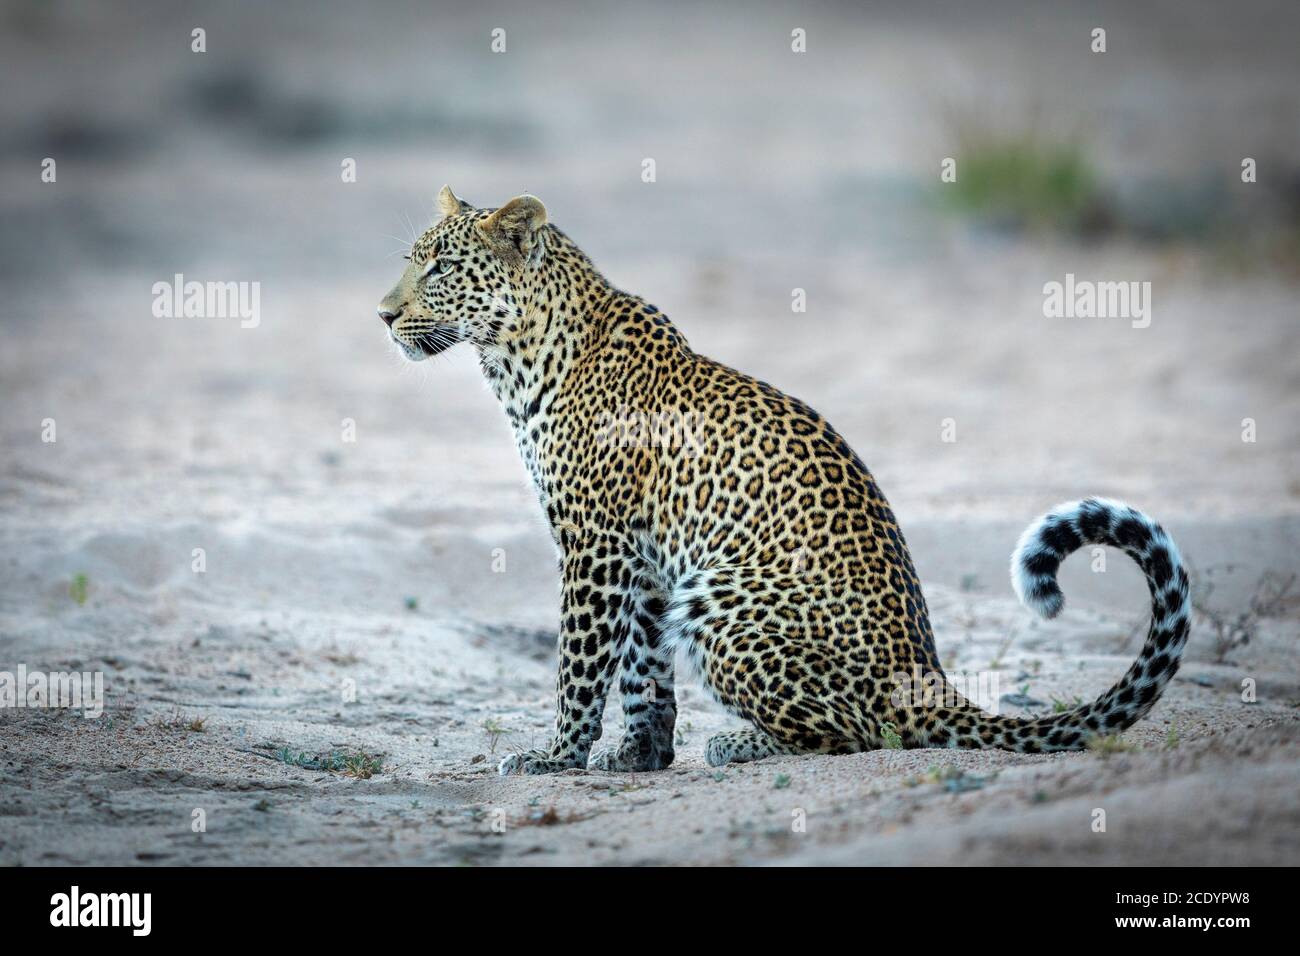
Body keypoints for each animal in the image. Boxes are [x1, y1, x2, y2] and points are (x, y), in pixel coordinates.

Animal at [374, 187, 1190, 780]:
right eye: (412, 261)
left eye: (440, 269)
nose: (382, 315)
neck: (517, 359)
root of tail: (926, 677)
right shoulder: (641, 558)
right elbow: (642, 669)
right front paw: (640, 756)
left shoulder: (594, 546)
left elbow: (581, 666)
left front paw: (554, 757)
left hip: (723, 602)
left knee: (868, 733)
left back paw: (741, 745)